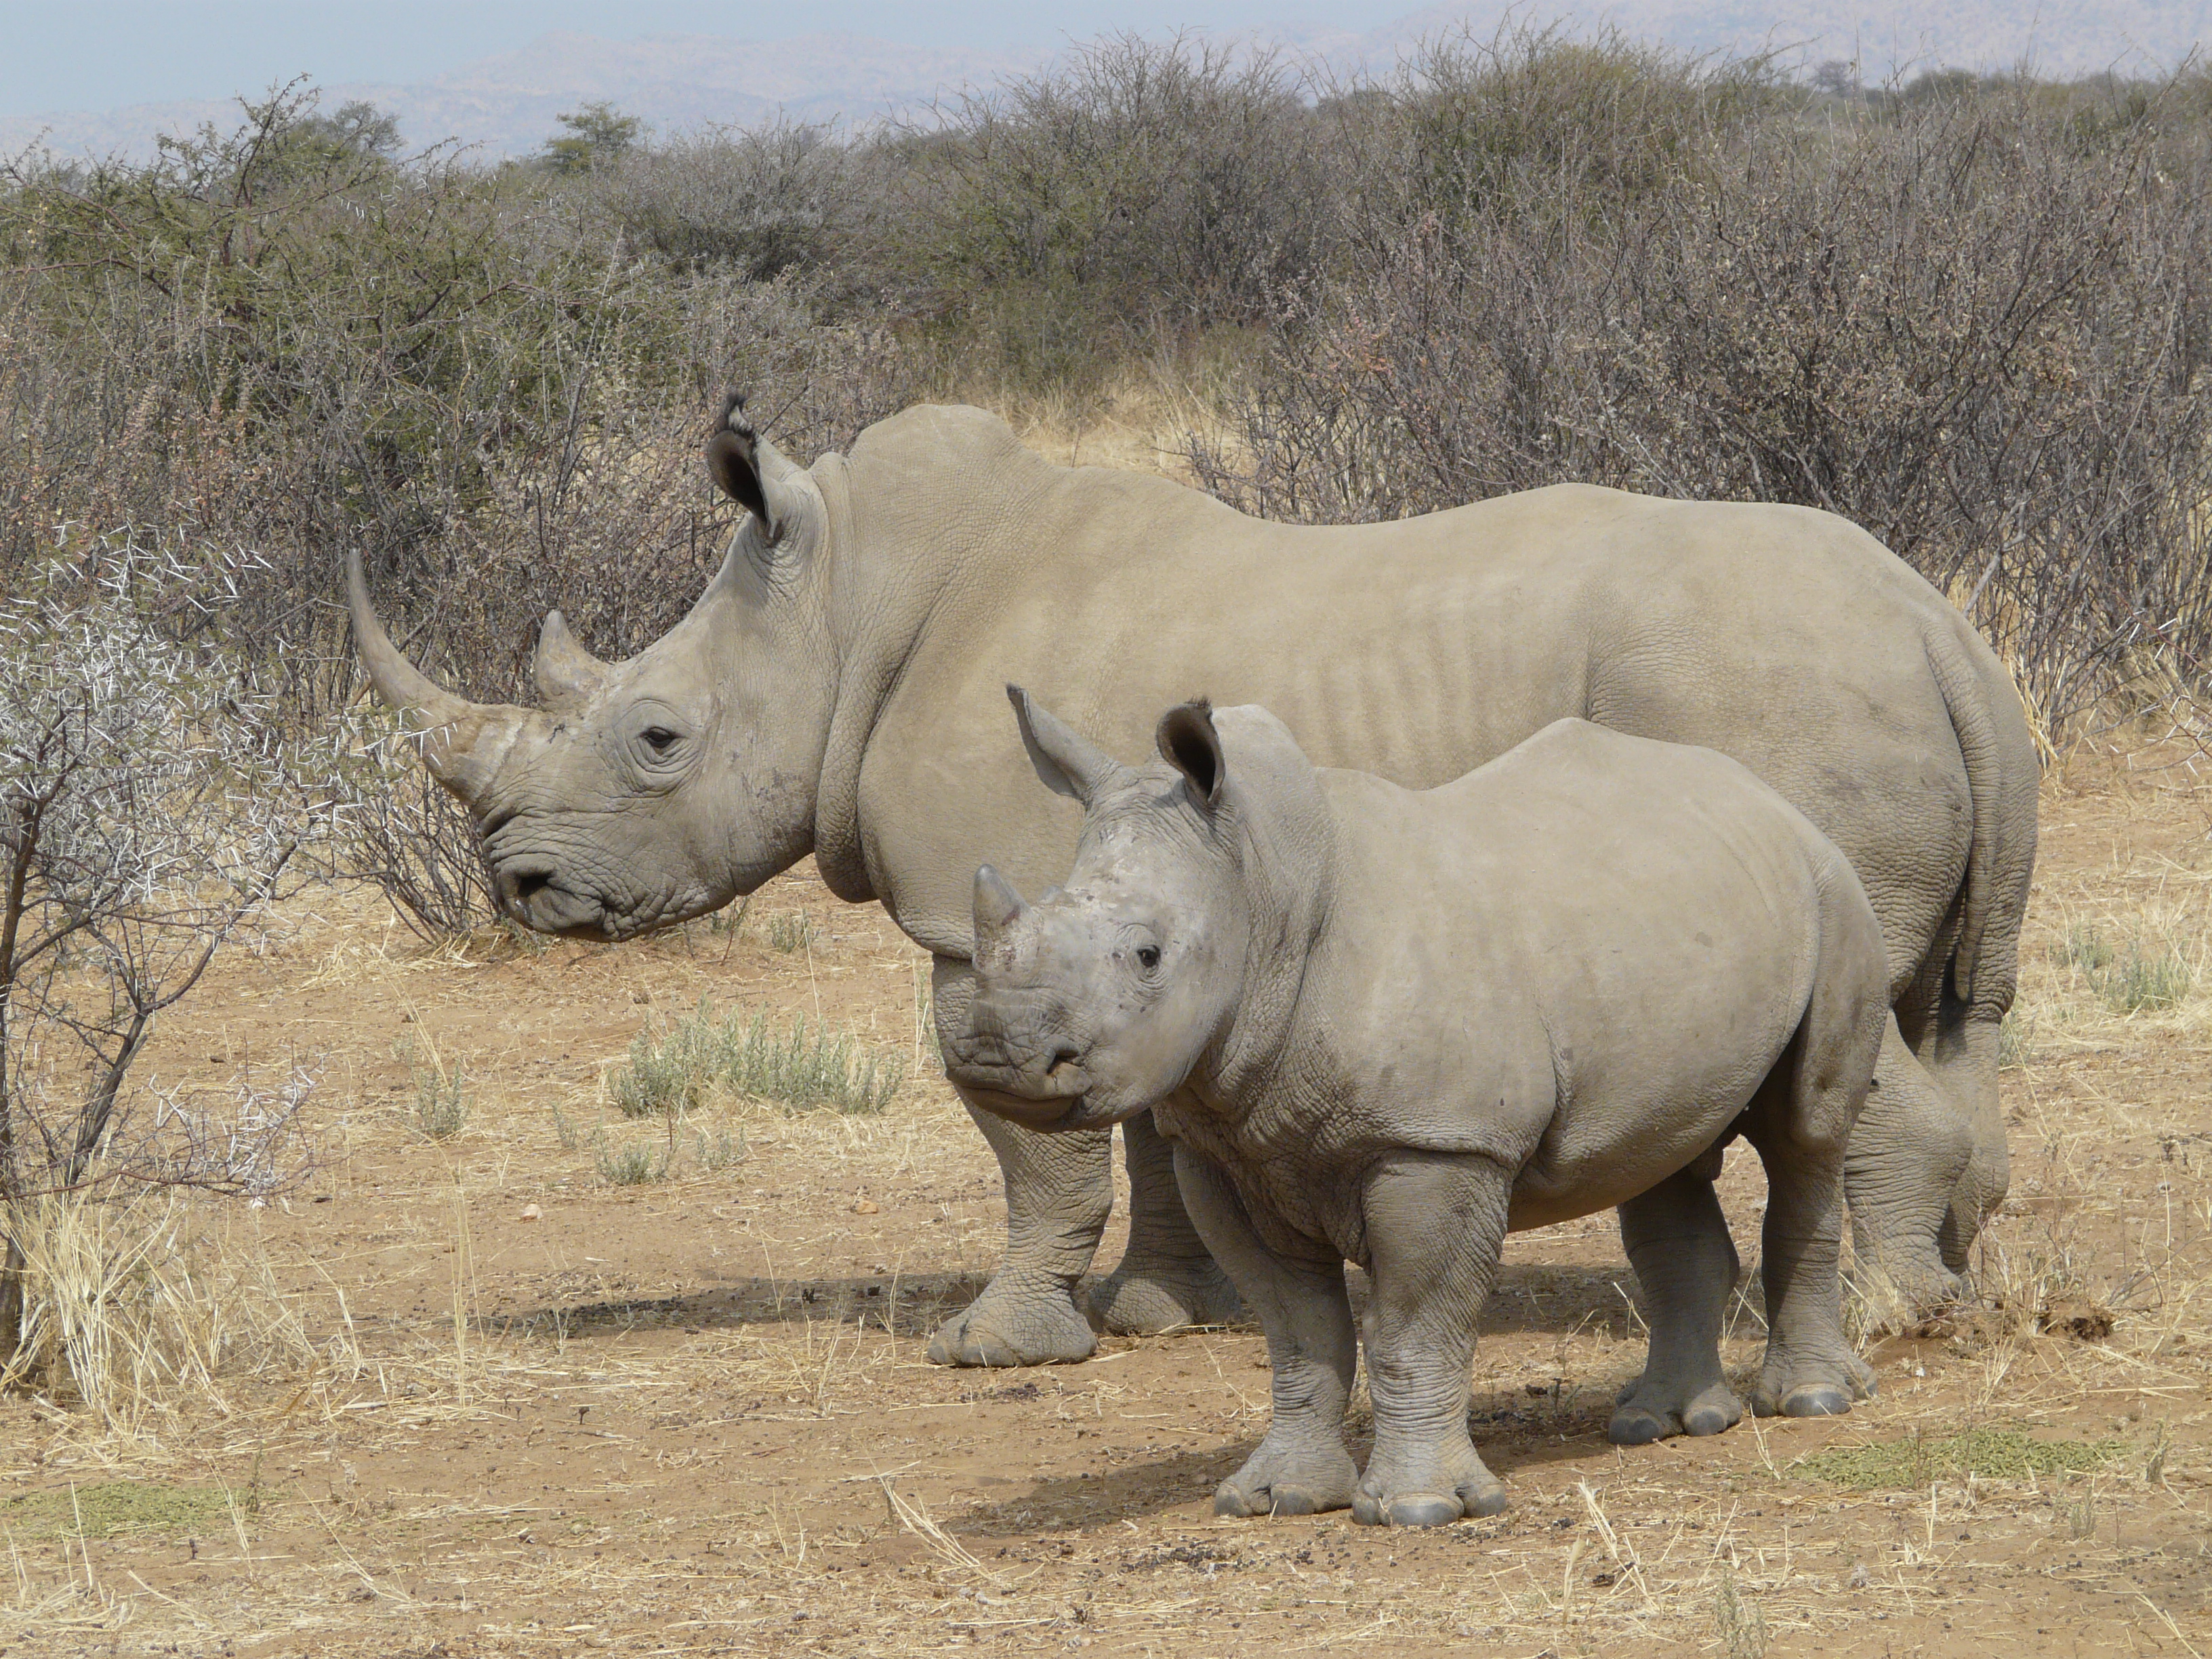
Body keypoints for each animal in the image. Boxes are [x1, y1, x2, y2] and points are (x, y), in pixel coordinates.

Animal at [346, 396, 2037, 1366]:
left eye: (655, 738)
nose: (523, 881)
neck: (844, 607)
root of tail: (1939, 626)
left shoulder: (983, 924)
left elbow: (1038, 1151)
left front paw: (996, 1349)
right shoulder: (1126, 914)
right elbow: (1147, 1125)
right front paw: (1164, 1312)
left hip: (1766, 703)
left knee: (1854, 1026)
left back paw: (1885, 1320)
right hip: (1869, 699)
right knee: (1948, 1012)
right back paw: (1949, 1277)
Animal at [945, 695, 1888, 1523]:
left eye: (1147, 955)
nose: (994, 1052)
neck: (1265, 887)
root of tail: (1767, 796)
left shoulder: (1438, 1144)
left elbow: (1414, 1326)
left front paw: (1420, 1509)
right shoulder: (1231, 1148)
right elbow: (1300, 1330)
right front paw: (1278, 1498)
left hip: (1834, 890)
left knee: (1806, 1133)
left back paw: (1810, 1400)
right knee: (1658, 1155)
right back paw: (1662, 1422)